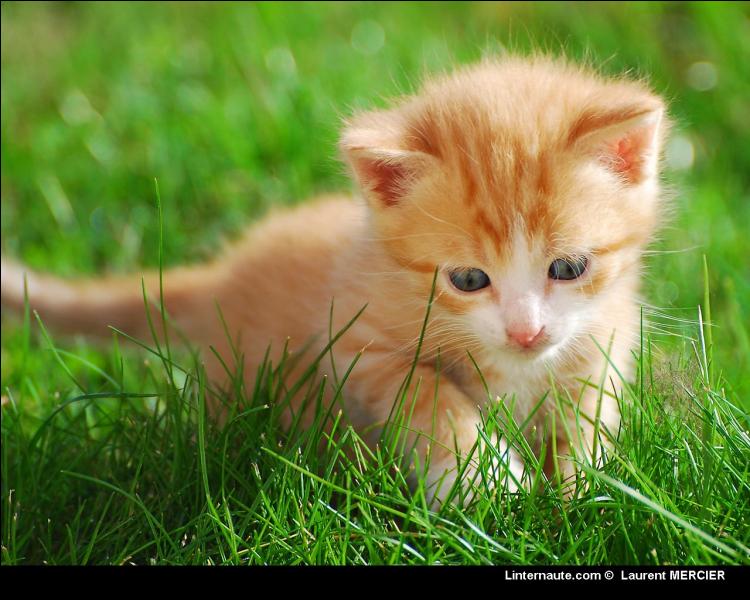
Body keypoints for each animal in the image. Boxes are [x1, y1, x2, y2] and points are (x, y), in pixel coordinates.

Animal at [0, 56, 668, 504]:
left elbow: (585, 424)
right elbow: (434, 401)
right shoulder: (358, 345)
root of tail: (222, 275)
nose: (526, 333)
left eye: (569, 268)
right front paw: (490, 483)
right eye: (469, 278)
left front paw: (579, 499)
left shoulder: (602, 344)